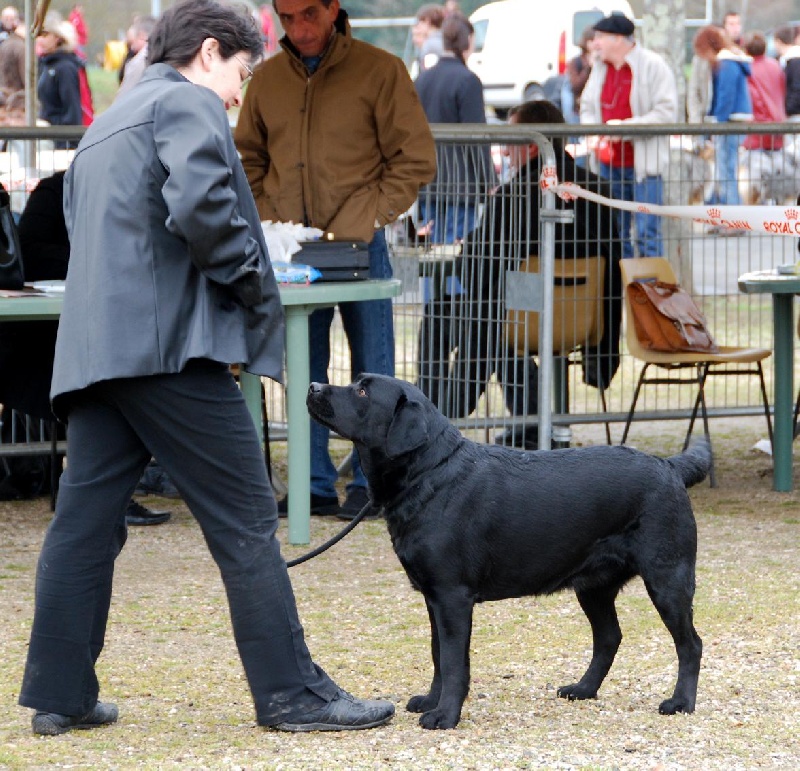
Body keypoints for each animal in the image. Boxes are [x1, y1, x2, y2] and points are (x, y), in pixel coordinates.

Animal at [308, 374, 712, 728]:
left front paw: (444, 715)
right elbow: (438, 655)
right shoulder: (433, 597)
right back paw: (583, 688)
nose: (313, 386)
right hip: (593, 586)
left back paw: (681, 702)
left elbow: (453, 662)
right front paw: (431, 700)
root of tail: (669, 465)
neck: (430, 473)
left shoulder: (452, 597)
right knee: (609, 637)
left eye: (362, 390)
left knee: (690, 643)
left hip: (668, 579)